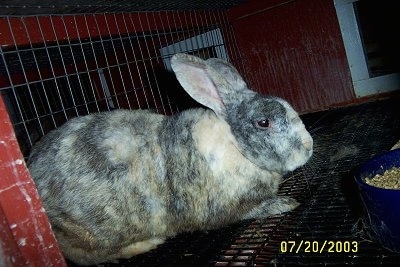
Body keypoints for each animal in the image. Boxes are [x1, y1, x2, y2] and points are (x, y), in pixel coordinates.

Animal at [28, 52, 316, 266]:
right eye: (263, 123)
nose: (309, 146)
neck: (235, 145)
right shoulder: (231, 208)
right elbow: (254, 210)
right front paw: (285, 203)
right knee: (92, 256)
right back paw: (149, 243)